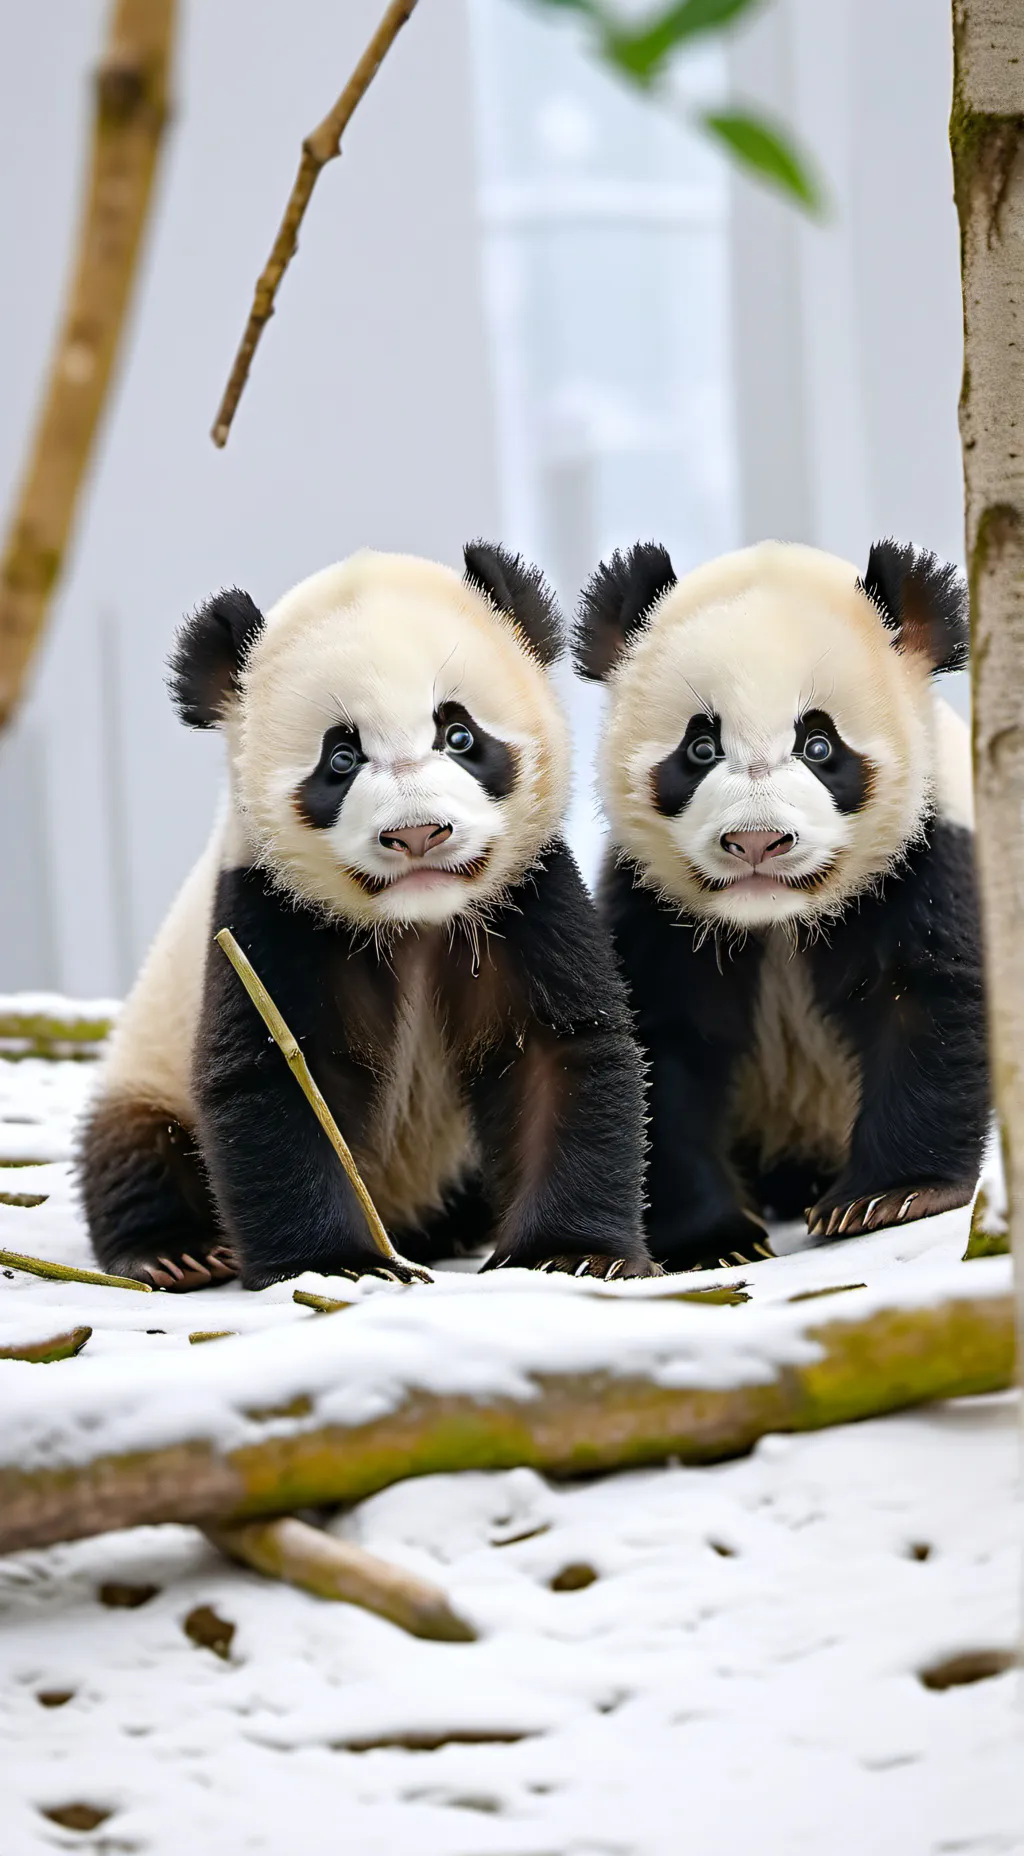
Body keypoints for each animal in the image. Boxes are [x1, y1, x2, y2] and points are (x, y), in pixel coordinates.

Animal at [79, 545, 653, 1291]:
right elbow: (275, 1077)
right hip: (148, 1061)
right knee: (133, 1149)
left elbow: (557, 1054)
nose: (418, 834)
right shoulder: (268, 915)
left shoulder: (529, 902)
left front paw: (568, 1252)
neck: (415, 922)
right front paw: (334, 1266)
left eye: (458, 734)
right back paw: (174, 1251)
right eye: (342, 758)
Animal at [574, 537, 988, 1272]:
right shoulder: (654, 911)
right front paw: (714, 1241)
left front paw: (890, 1197)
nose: (757, 840)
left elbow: (929, 1003)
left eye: (819, 745)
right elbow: (665, 1046)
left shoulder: (928, 857)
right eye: (700, 746)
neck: (777, 919)